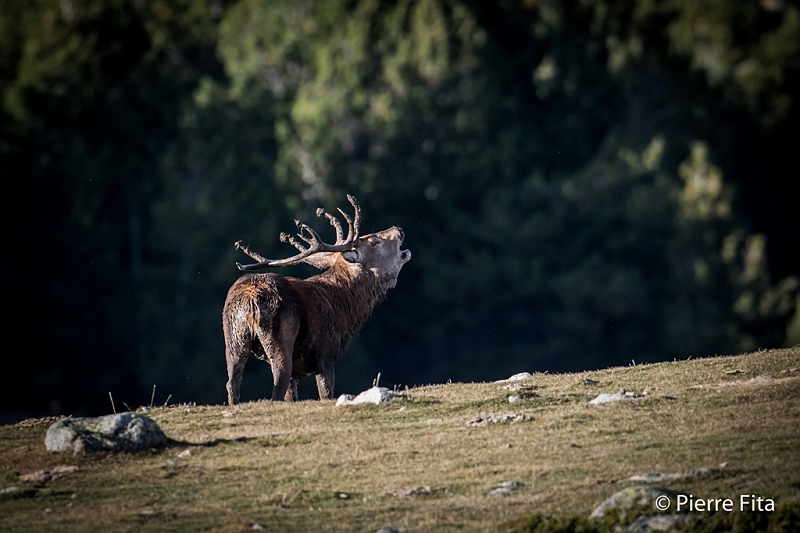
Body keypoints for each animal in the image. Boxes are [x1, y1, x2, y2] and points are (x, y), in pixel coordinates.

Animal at [223, 195, 411, 405]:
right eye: (374, 241)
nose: (399, 229)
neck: (343, 310)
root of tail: (250, 298)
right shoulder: (326, 354)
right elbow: (326, 393)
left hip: (233, 335)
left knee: (232, 382)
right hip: (280, 333)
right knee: (279, 379)